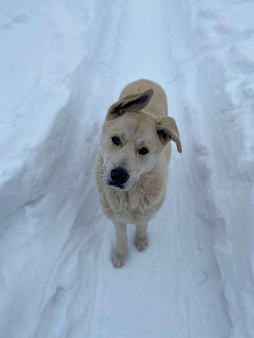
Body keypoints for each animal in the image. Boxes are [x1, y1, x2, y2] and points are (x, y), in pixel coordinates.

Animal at [95, 79, 181, 266]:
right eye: (115, 139)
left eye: (143, 150)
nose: (119, 175)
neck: (129, 197)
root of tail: (146, 79)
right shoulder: (116, 218)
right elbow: (121, 237)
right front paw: (120, 255)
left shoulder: (147, 213)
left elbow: (142, 226)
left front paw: (140, 240)